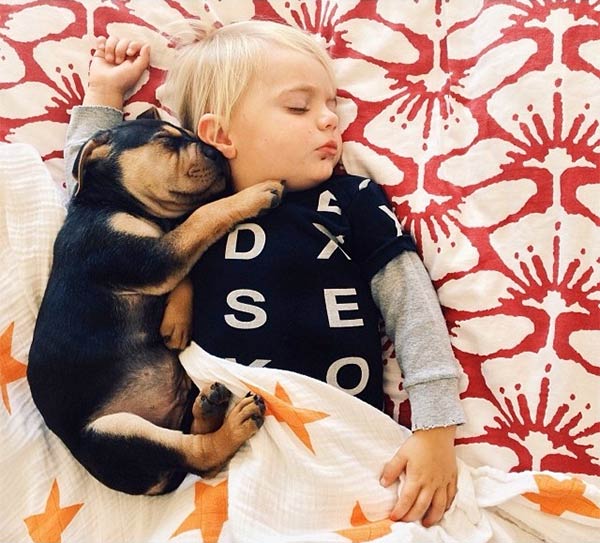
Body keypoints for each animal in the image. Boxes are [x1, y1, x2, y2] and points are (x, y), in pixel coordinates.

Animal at [25, 119, 284, 498]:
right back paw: (235, 423)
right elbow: (201, 218)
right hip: (118, 433)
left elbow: (188, 256)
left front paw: (176, 322)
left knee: (192, 442)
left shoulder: (161, 254)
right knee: (198, 457)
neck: (108, 202)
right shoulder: (149, 258)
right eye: (164, 139)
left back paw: (209, 406)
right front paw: (253, 194)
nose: (217, 152)